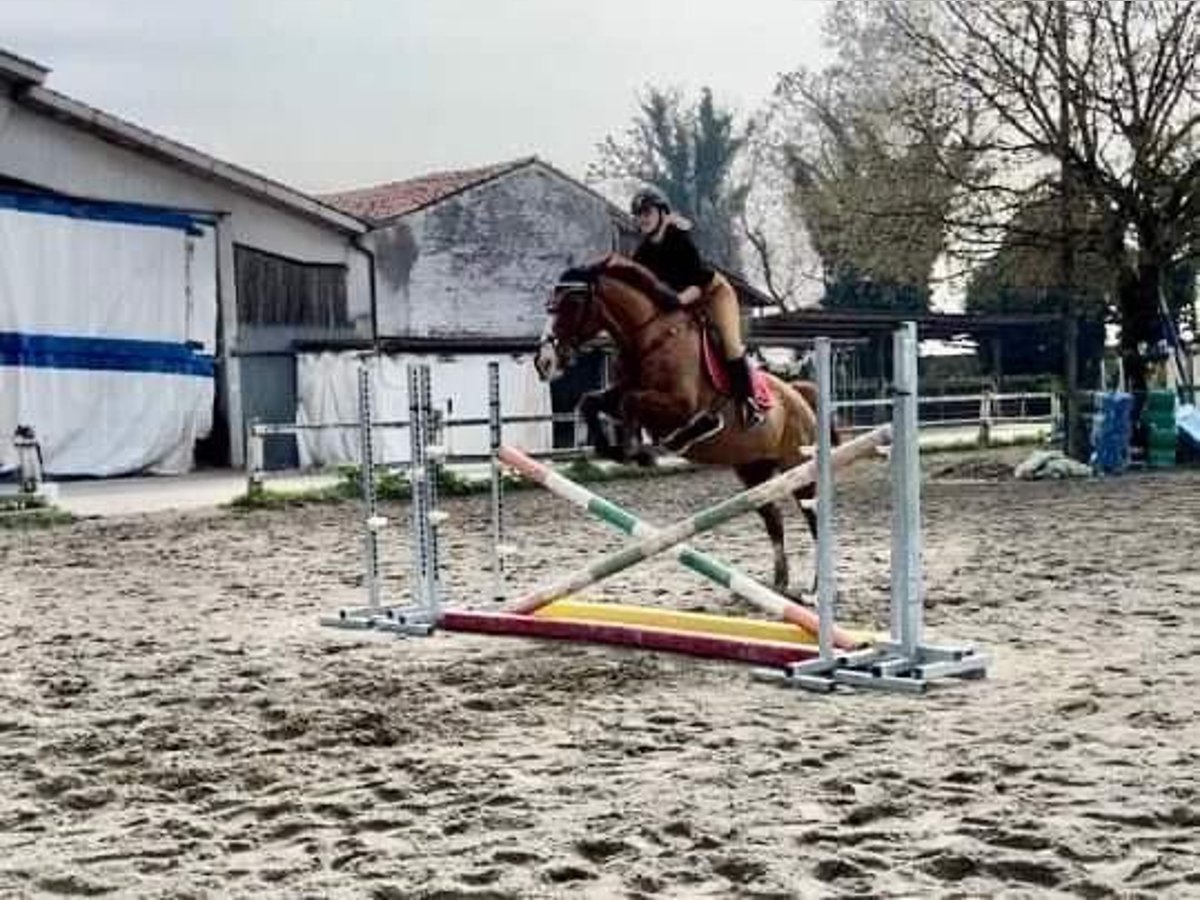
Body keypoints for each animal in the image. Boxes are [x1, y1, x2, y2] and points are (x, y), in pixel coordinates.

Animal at [535, 254, 835, 595]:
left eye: (572, 302)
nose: (543, 361)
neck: (649, 339)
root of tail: (799, 397)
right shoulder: (622, 391)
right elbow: (591, 402)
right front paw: (611, 450)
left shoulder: (678, 406)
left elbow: (630, 406)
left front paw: (639, 452)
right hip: (753, 471)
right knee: (773, 518)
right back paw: (779, 583)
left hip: (797, 467)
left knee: (813, 517)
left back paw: (816, 589)